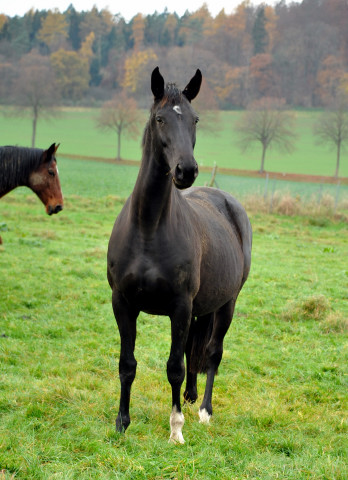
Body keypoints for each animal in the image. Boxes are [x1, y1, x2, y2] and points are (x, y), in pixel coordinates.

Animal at [107, 66, 251, 442]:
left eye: (194, 119)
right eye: (160, 119)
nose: (187, 171)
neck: (148, 228)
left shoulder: (180, 307)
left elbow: (174, 366)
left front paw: (176, 430)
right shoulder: (122, 302)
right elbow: (127, 364)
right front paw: (122, 422)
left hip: (226, 304)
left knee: (212, 354)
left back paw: (204, 410)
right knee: (193, 351)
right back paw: (190, 396)